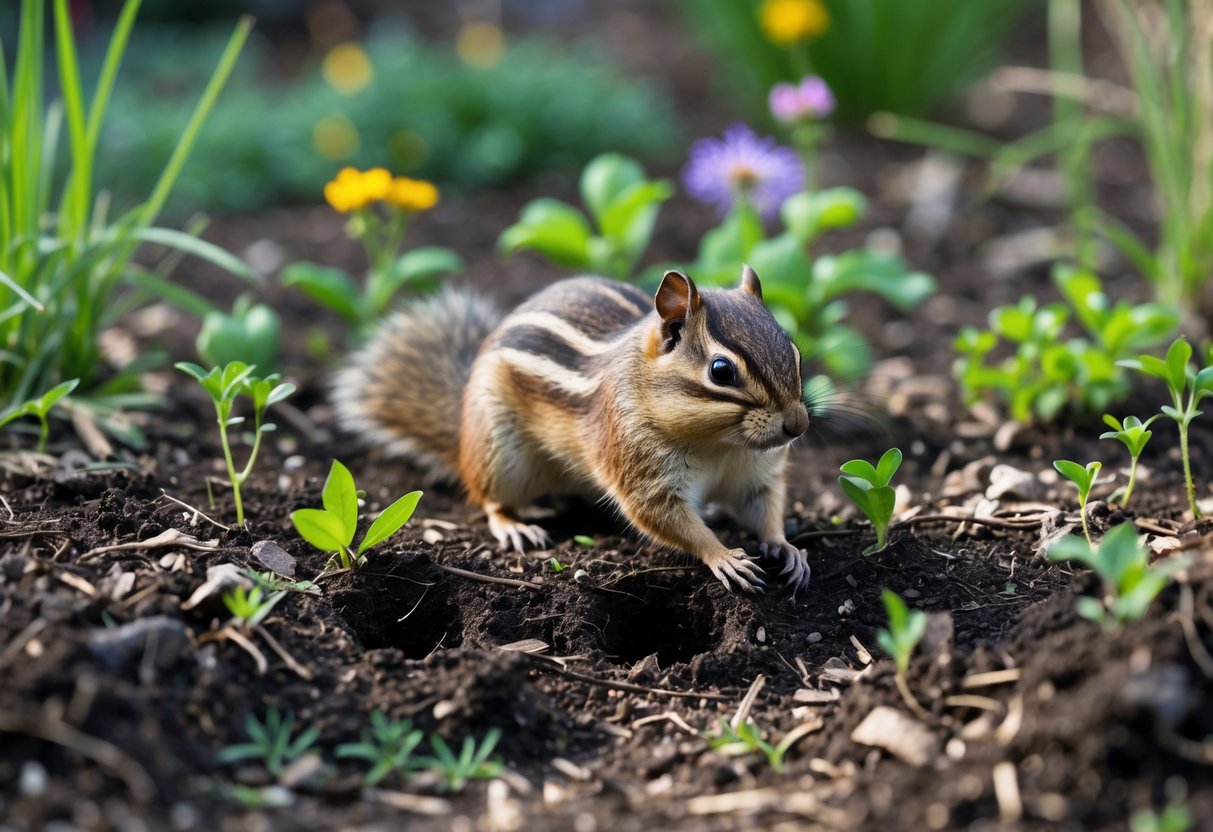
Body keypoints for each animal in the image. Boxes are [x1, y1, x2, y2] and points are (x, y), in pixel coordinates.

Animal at [334, 266, 811, 593]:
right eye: (721, 371)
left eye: (795, 352)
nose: (798, 425)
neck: (721, 445)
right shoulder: (640, 468)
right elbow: (667, 519)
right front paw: (724, 555)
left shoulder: (757, 475)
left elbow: (765, 507)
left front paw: (785, 547)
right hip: (500, 455)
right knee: (489, 499)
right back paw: (514, 526)